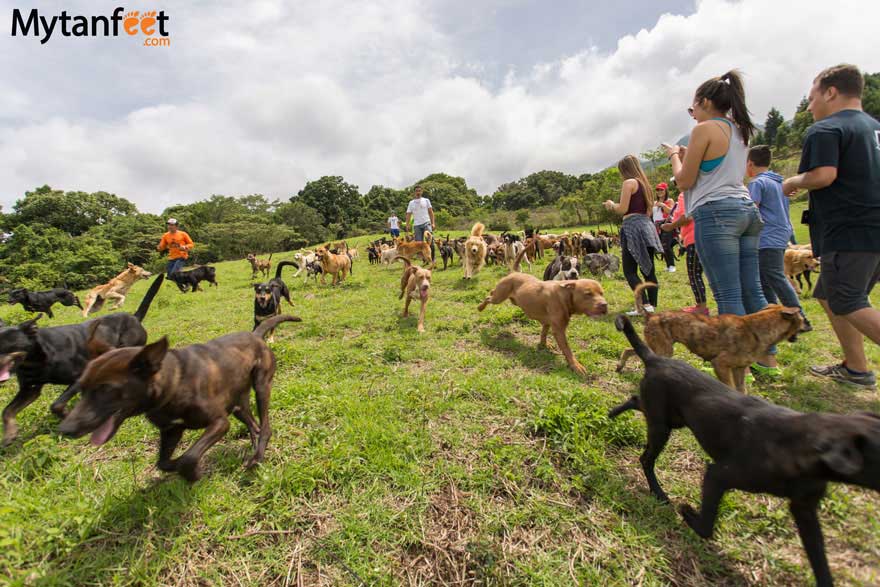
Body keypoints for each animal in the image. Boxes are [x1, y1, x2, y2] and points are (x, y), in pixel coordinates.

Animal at [0, 276, 165, 446]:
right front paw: (9, 434)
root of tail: (134, 317)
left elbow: (56, 405)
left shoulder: (79, 376)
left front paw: (66, 416)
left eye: (5, 345)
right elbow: (7, 411)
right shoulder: (30, 389)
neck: (37, 355)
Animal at [59, 314, 302, 480]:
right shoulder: (171, 430)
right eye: (81, 387)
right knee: (254, 424)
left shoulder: (219, 423)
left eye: (106, 390)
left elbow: (189, 457)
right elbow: (164, 463)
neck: (175, 381)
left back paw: (257, 457)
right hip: (237, 404)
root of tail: (255, 335)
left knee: (265, 426)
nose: (64, 429)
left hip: (261, 386)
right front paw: (181, 468)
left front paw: (192, 473)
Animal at [478, 247, 608, 376]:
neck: (565, 294)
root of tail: (514, 272)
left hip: (511, 299)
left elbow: (543, 334)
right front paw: (575, 365)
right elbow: (567, 349)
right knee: (488, 298)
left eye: (602, 293)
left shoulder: (547, 322)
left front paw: (543, 345)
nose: (604, 305)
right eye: (588, 294)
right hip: (499, 298)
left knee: (491, 292)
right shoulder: (559, 331)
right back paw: (480, 307)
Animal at [608, 314, 880, 587]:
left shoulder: (804, 510)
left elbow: (820, 561)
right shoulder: (718, 474)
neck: (803, 444)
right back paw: (658, 492)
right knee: (646, 458)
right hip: (662, 423)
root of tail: (656, 359)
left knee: (636, 400)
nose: (809, 325)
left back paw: (613, 413)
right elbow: (706, 525)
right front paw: (686, 511)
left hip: (670, 417)